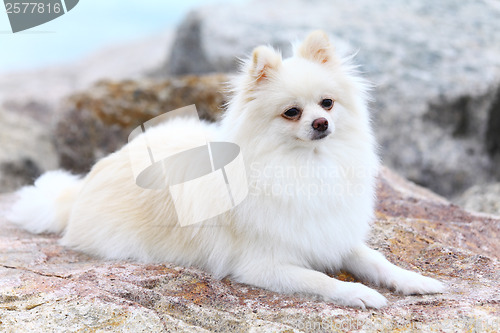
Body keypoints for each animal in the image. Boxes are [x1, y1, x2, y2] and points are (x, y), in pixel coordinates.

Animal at [9, 29, 444, 308]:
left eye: (328, 103)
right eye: (292, 112)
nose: (321, 123)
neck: (304, 165)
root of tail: (81, 188)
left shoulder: (331, 233)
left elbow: (377, 260)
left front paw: (416, 280)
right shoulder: (262, 264)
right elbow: (319, 278)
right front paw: (360, 294)